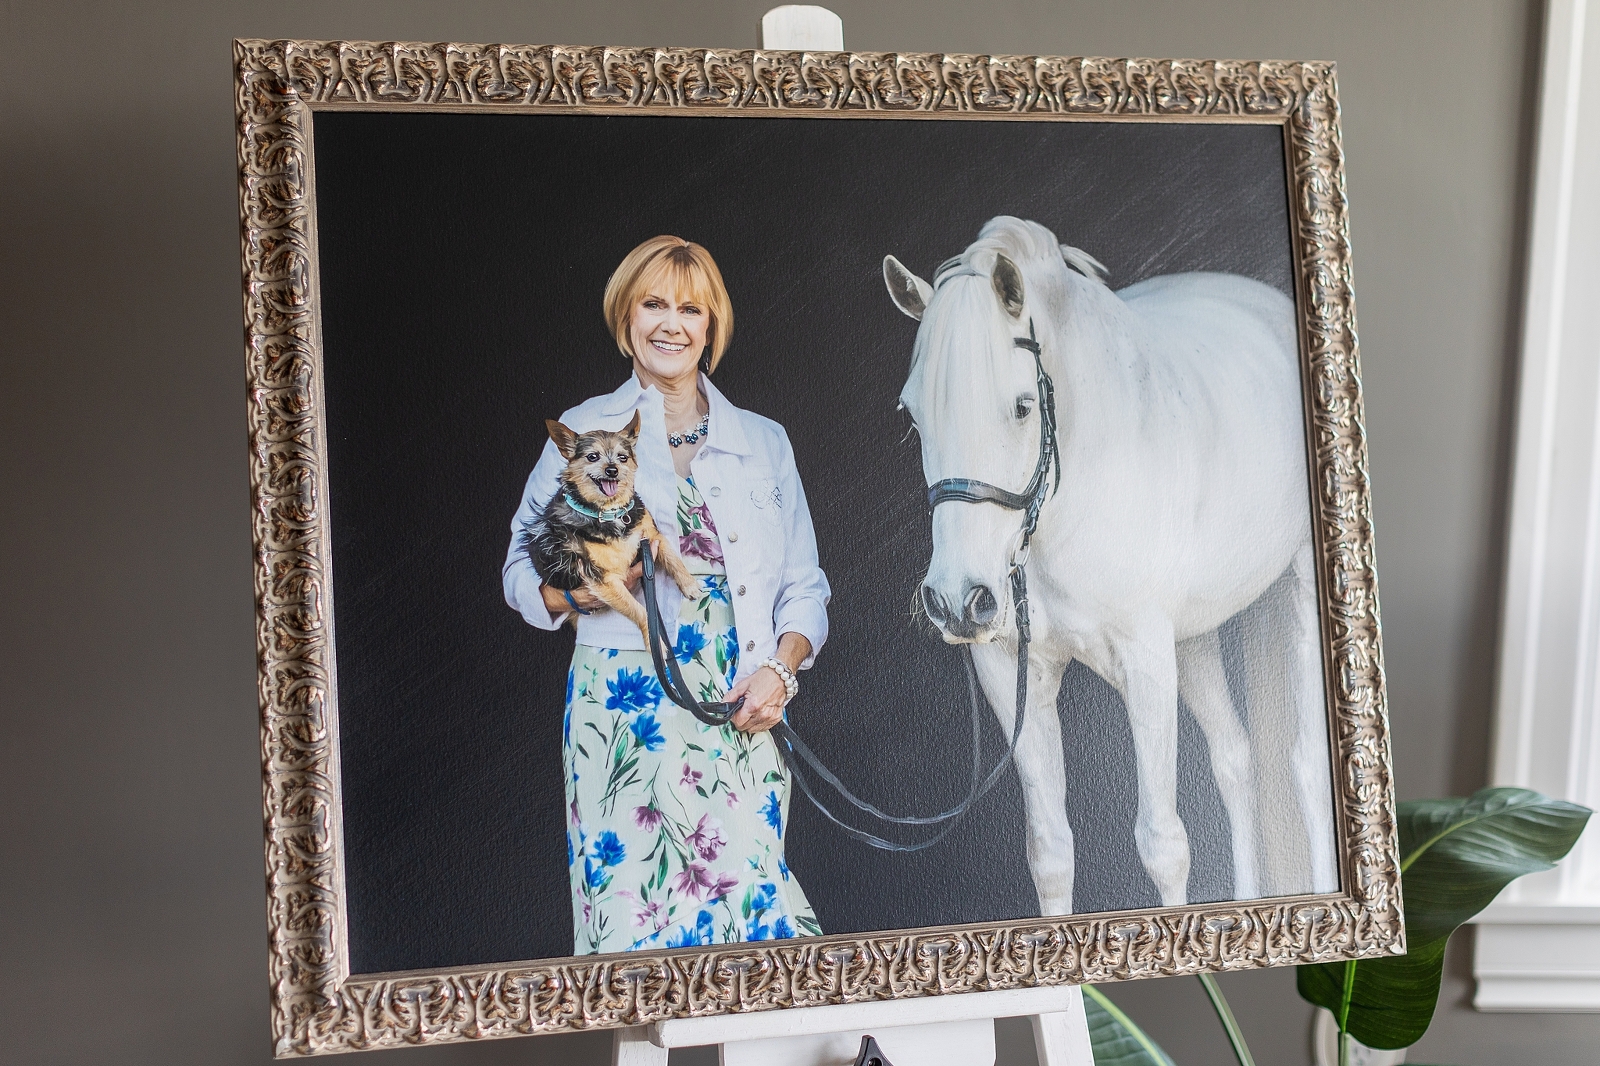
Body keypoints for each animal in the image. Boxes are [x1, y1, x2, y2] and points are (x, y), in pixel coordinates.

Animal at [524, 409, 700, 633]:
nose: (612, 470)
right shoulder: (605, 581)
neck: (611, 513)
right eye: (592, 456)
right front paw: (653, 639)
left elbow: (674, 559)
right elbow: (642, 613)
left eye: (622, 457)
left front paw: (689, 585)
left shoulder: (652, 536)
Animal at [889, 217, 1337, 915]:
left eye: (1022, 405)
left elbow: (1163, 843)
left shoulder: (1145, 661)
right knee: (1234, 760)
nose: (959, 599)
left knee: (1309, 769)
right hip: (1194, 638)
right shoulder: (1011, 672)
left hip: (1298, 594)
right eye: (912, 415)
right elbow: (1050, 854)